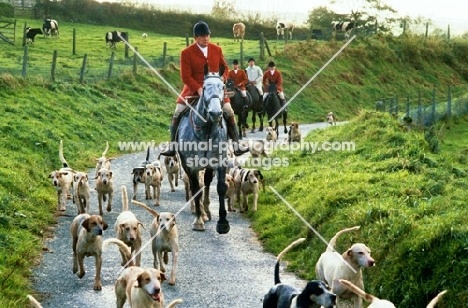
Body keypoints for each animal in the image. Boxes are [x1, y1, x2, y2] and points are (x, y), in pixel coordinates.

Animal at [176, 65, 229, 233]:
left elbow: (220, 188)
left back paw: (206, 211)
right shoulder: (191, 167)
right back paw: (201, 213)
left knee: (206, 182)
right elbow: (195, 189)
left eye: (223, 86)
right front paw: (198, 220)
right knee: (197, 187)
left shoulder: (220, 162)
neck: (206, 131)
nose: (215, 113)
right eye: (204, 87)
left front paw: (223, 223)